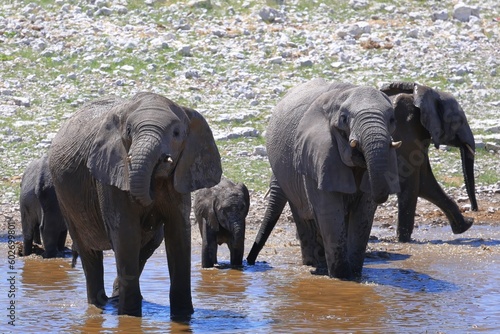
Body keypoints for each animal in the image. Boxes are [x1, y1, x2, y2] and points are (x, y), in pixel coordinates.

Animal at [48, 92, 221, 318]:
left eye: (176, 133)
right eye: (129, 131)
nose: (162, 161)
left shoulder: (181, 173)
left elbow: (178, 232)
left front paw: (183, 317)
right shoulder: (111, 170)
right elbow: (126, 232)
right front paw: (130, 317)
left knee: (150, 243)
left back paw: (114, 299)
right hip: (65, 199)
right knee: (89, 252)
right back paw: (100, 304)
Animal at [248, 78, 400, 280]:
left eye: (392, 119)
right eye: (344, 119)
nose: (250, 262)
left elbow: (363, 212)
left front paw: (355, 275)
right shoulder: (317, 155)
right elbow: (329, 209)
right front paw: (342, 277)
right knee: (305, 214)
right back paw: (315, 264)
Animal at [380, 82, 478, 241]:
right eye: (460, 121)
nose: (473, 210)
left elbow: (425, 184)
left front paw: (466, 225)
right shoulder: (405, 130)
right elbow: (410, 184)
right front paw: (404, 240)